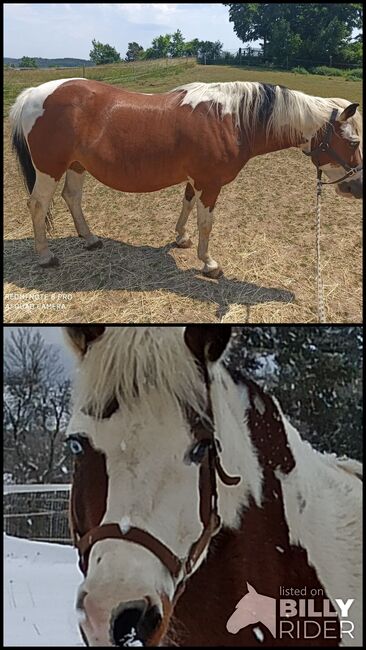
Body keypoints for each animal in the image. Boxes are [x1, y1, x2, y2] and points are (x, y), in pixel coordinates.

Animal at [10, 80, 362, 274]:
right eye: (354, 142)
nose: (356, 187)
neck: (231, 119)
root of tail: (33, 94)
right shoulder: (212, 183)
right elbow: (206, 222)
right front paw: (208, 263)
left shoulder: (197, 179)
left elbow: (187, 204)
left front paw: (181, 238)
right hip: (49, 168)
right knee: (38, 205)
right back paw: (45, 256)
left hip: (76, 165)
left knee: (72, 197)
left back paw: (91, 239)